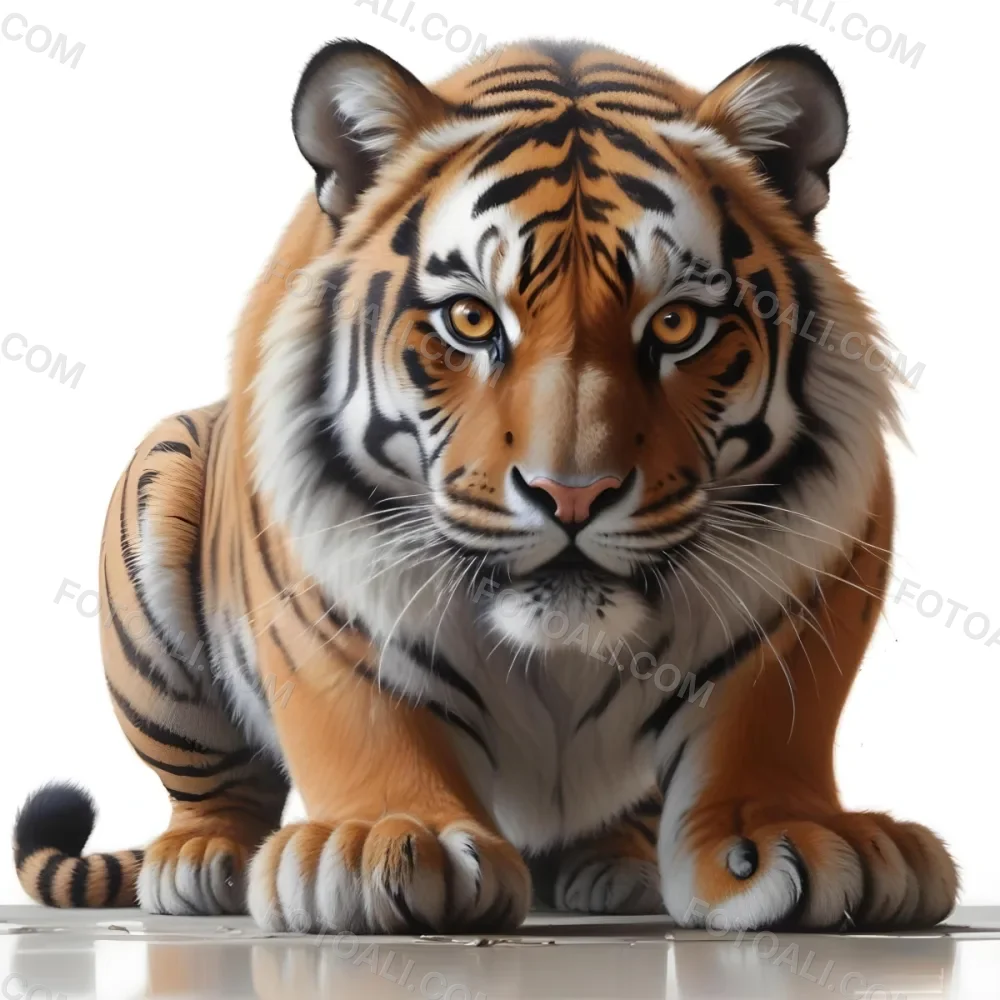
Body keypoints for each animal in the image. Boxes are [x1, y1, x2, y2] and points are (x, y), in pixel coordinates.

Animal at [13, 37, 958, 934]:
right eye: (471, 319)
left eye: (677, 324)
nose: (571, 495)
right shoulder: (319, 582)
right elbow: (357, 706)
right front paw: (384, 841)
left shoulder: (820, 565)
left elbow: (769, 716)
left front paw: (803, 835)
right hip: (161, 481)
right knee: (216, 784)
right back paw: (200, 861)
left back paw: (618, 865)